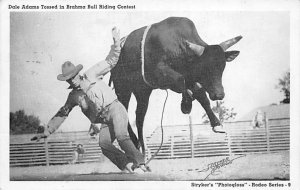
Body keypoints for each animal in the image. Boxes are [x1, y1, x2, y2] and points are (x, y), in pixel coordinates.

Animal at [110, 16, 241, 156]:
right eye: (205, 67)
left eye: (223, 66)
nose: (219, 94)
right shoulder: (161, 71)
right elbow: (181, 80)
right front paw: (186, 104)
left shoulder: (190, 80)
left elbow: (201, 96)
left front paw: (216, 123)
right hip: (122, 88)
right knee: (124, 109)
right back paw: (134, 140)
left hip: (142, 91)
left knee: (139, 117)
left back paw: (142, 148)